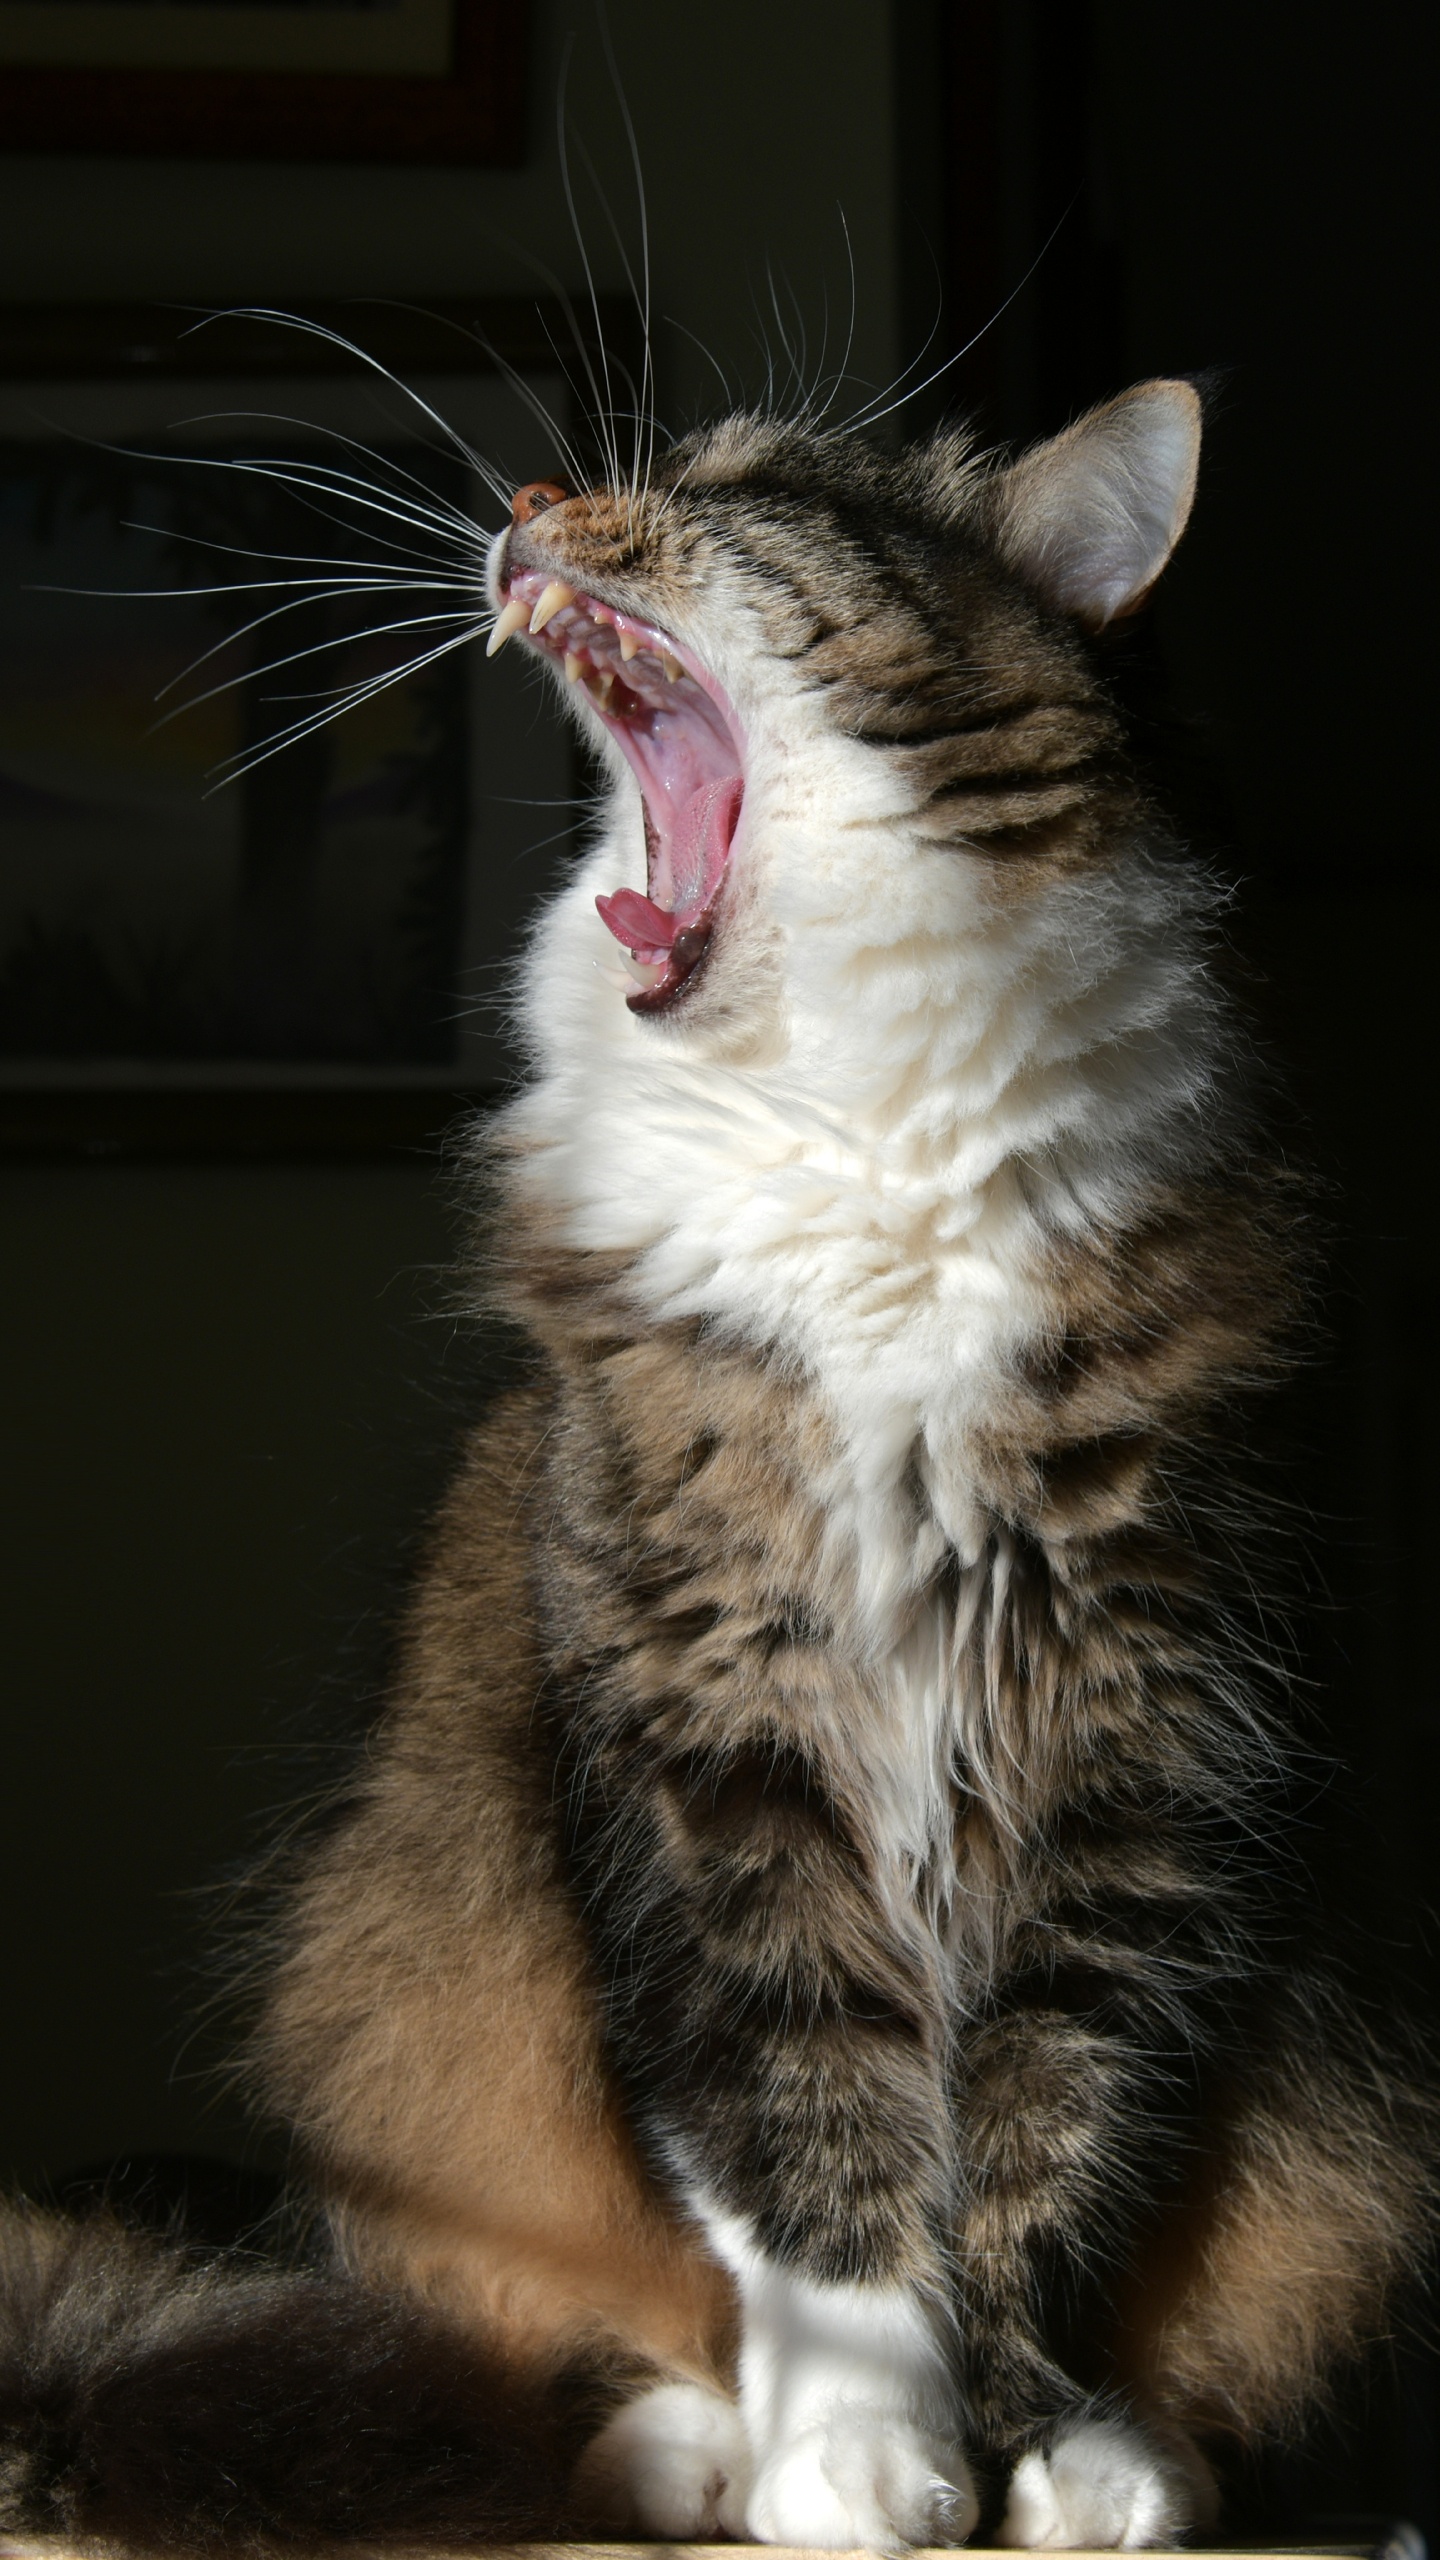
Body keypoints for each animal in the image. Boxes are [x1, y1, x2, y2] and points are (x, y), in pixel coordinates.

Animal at [0, 371, 1424, 2549]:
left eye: (745, 492)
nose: (530, 493)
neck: (856, 1149)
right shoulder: (708, 1736)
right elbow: (799, 2145)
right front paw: (860, 2456)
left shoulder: (1143, 1745)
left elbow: (1048, 2153)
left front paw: (1034, 2446)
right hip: (403, 1971)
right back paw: (686, 2451)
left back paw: (1143, 2455)